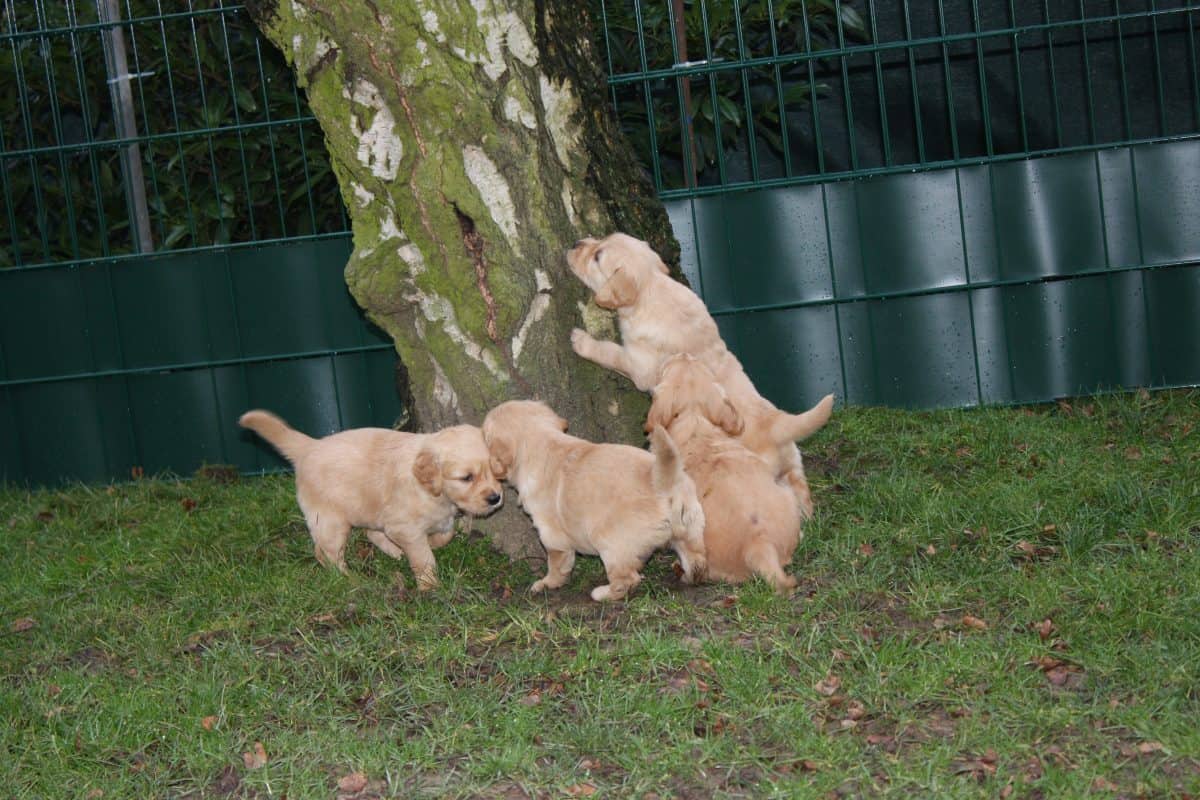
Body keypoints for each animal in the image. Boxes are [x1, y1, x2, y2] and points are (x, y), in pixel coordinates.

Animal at [236, 412, 504, 587]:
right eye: (466, 477)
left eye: (496, 471)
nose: (495, 498)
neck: (432, 491)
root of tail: (310, 446)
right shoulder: (403, 526)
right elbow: (423, 557)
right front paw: (429, 585)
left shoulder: (429, 520)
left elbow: (444, 534)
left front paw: (434, 543)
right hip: (330, 521)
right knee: (326, 553)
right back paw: (350, 579)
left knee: (370, 533)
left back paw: (394, 553)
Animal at [477, 400, 700, 599]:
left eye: (484, 436)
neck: (544, 443)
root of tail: (665, 483)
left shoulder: (552, 536)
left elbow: (556, 565)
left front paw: (547, 584)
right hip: (691, 529)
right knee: (695, 560)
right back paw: (690, 577)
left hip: (609, 542)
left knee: (628, 579)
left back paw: (602, 594)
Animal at [568, 231, 835, 520]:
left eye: (597, 256)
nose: (575, 243)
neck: (653, 288)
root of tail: (775, 423)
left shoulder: (638, 365)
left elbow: (611, 352)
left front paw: (581, 341)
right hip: (794, 463)